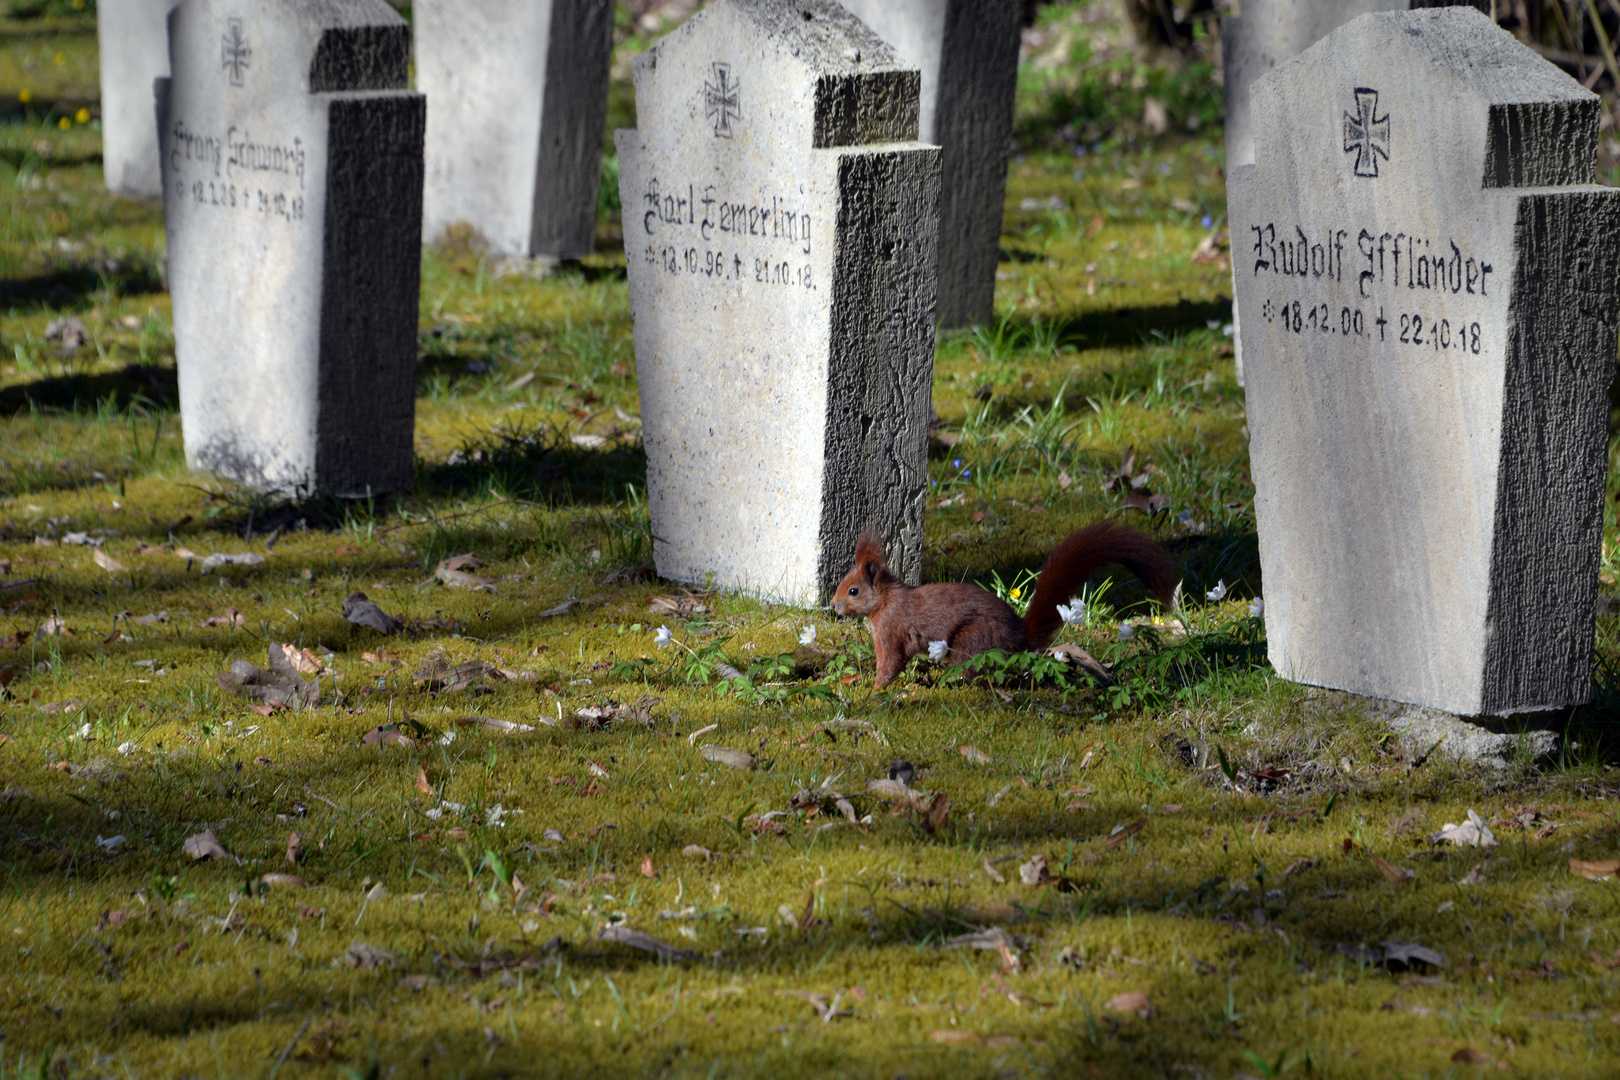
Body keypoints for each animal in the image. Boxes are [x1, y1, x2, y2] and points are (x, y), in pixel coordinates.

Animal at [835, 521, 1179, 689]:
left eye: (853, 591)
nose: (834, 606)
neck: (885, 600)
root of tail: (1020, 636)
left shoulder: (890, 630)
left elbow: (890, 663)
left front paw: (874, 690)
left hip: (971, 643)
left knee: (987, 672)